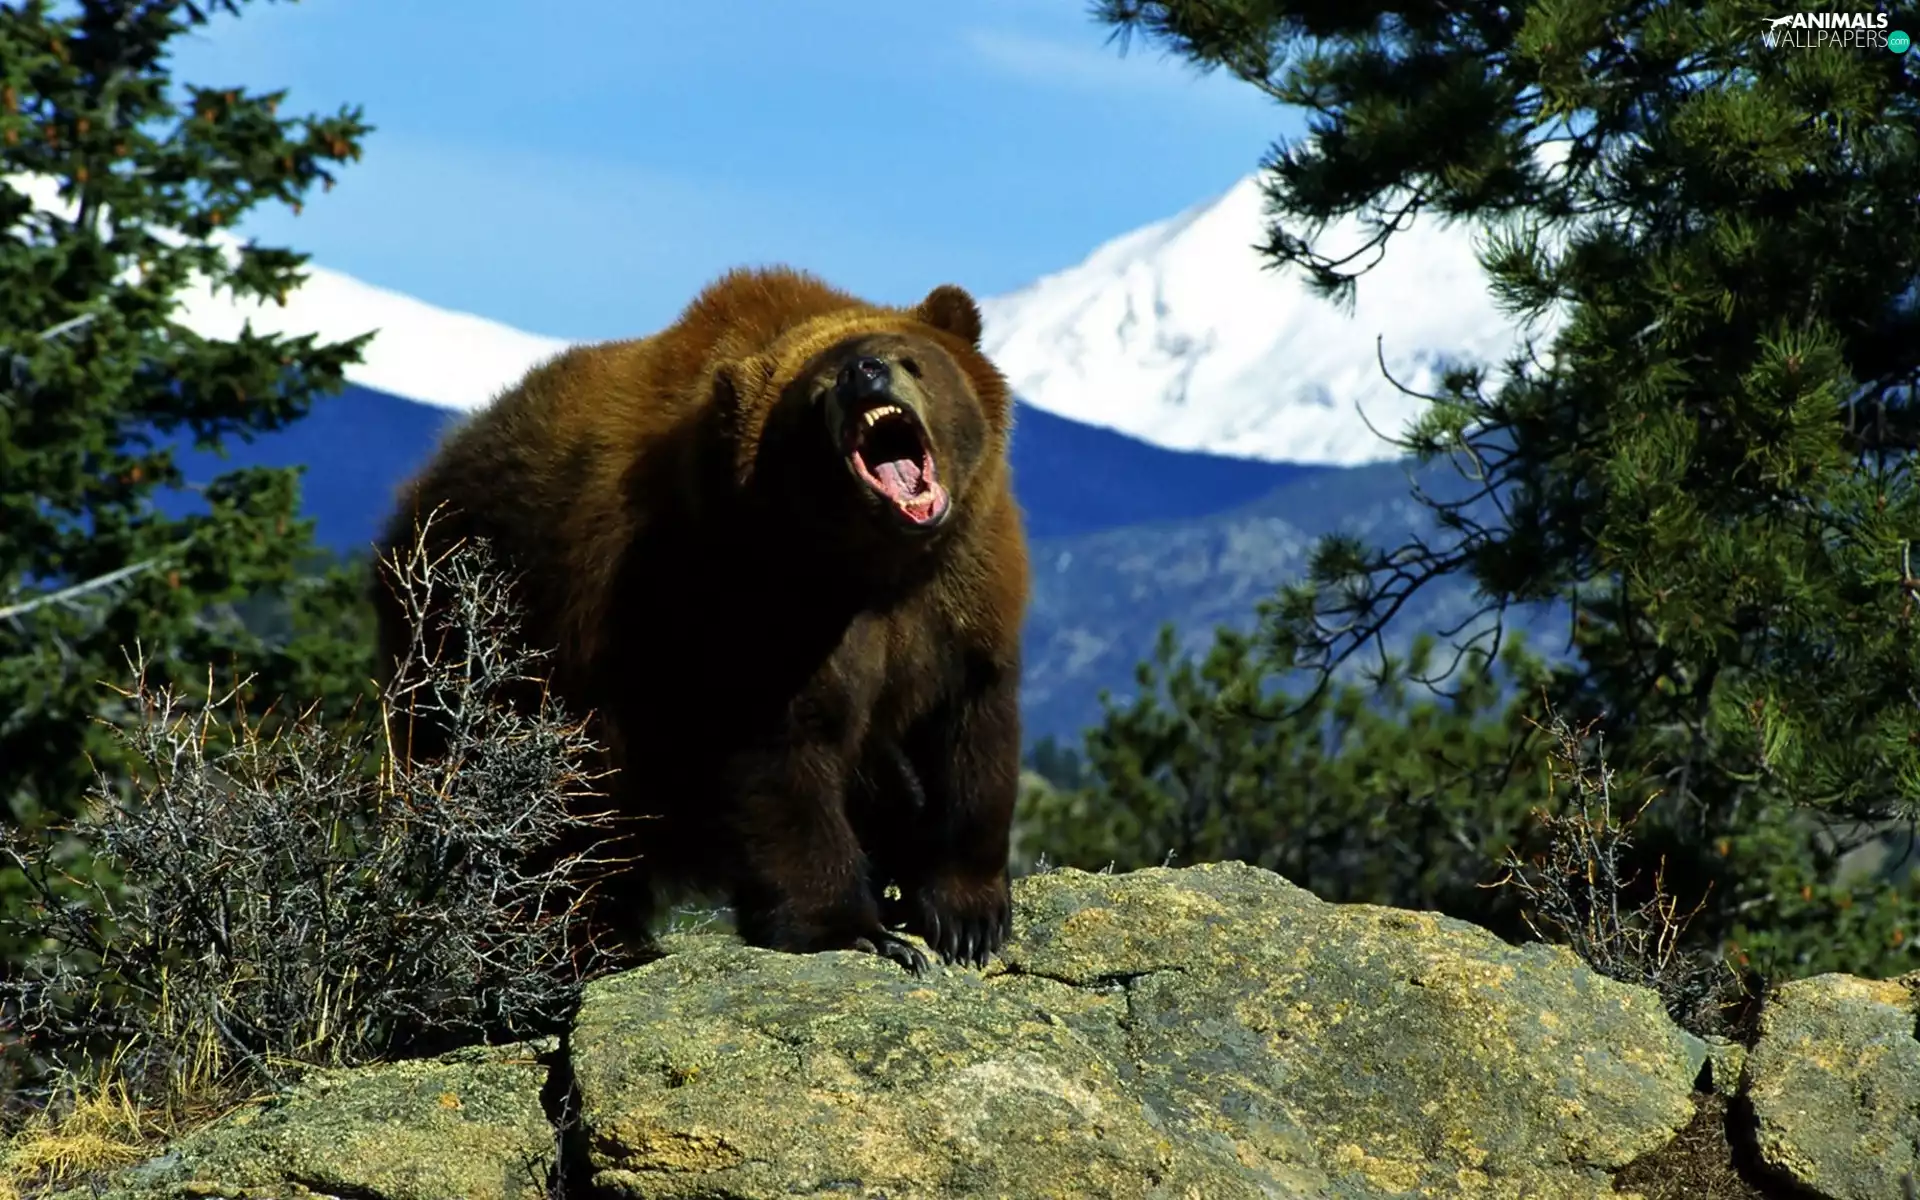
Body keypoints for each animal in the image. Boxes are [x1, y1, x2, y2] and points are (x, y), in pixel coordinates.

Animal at [371, 266, 1029, 974]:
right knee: (554, 819)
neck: (874, 561)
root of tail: (413, 496)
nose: (865, 372)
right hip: (489, 645)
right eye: (817, 390)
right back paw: (593, 942)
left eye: (911, 359)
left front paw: (966, 917)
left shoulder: (963, 592)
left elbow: (971, 735)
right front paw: (856, 929)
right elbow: (781, 760)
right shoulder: (740, 600)